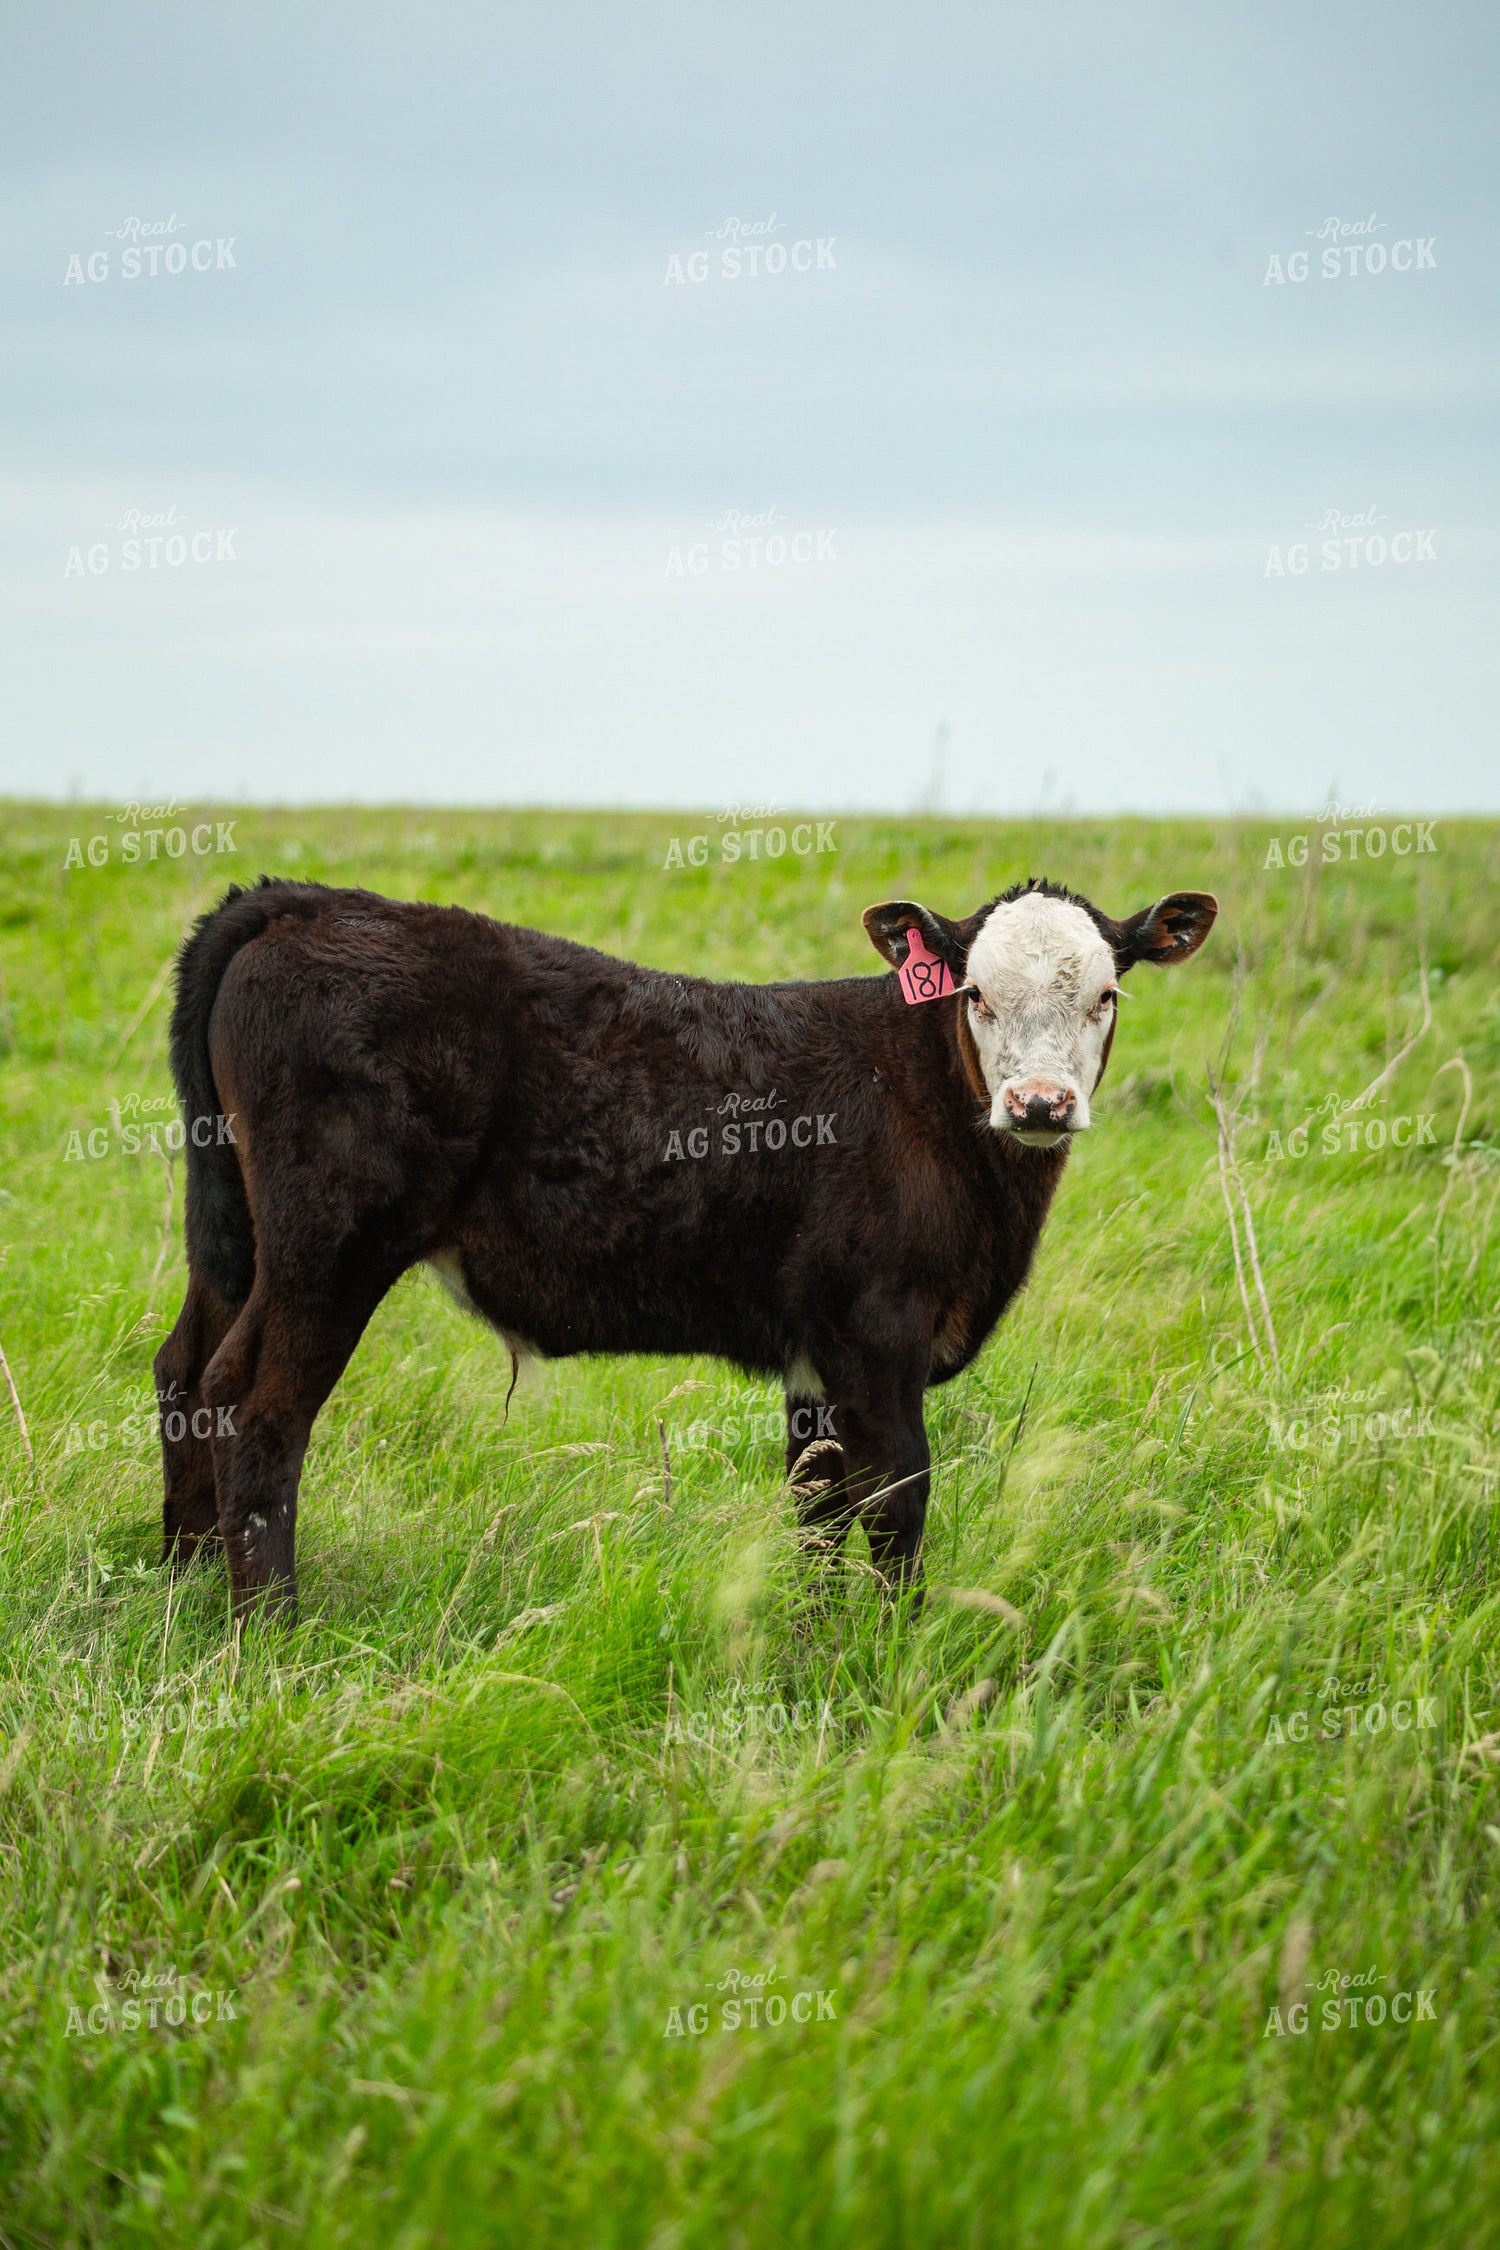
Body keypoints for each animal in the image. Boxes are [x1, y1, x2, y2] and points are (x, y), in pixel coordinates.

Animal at [153, 874, 1217, 1622]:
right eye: (978, 995)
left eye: (1107, 995)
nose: (1039, 1104)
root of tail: (304, 902)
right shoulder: (877, 1331)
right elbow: (896, 1496)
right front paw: (895, 1654)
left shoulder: (814, 1355)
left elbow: (817, 1505)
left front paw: (814, 1641)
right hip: (329, 1247)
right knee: (255, 1404)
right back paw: (271, 1628)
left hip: (238, 1239)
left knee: (182, 1370)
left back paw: (182, 1585)